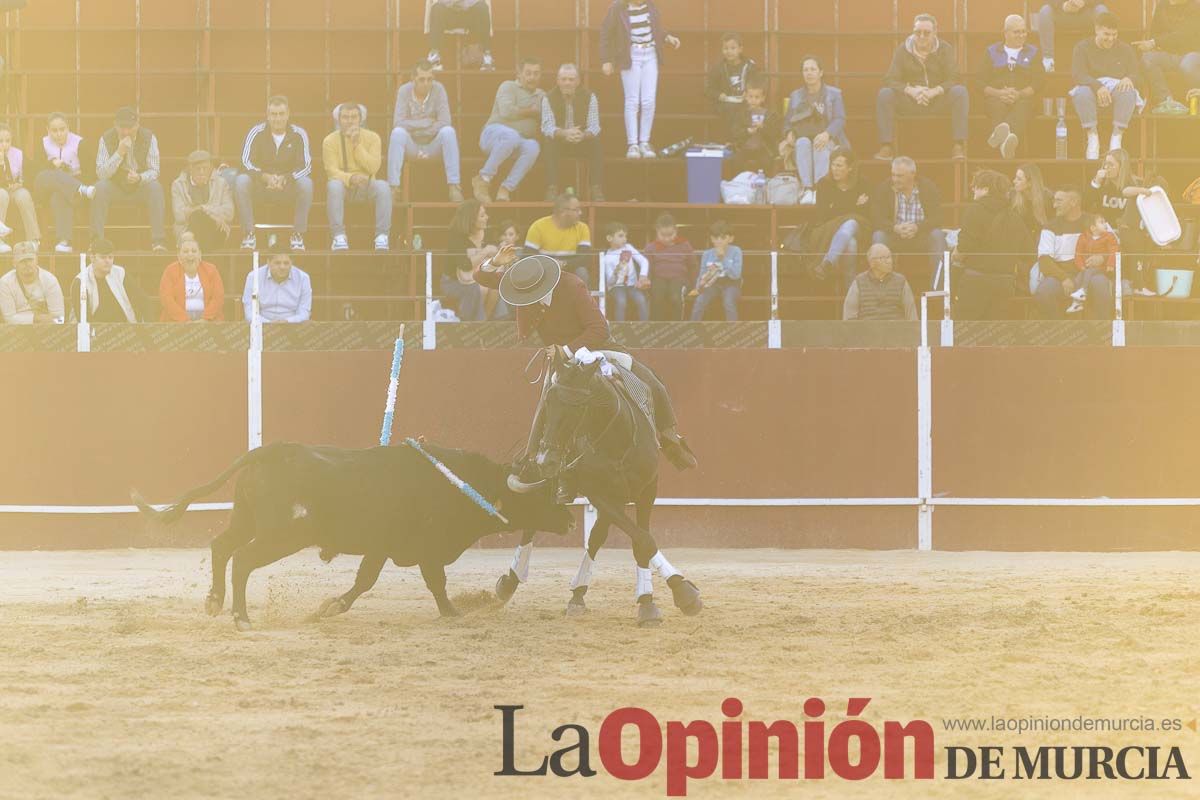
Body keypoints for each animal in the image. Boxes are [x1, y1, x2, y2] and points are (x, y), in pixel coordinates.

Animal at [133, 441, 573, 628]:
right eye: (543, 494)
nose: (570, 519)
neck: (461, 484)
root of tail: (273, 450)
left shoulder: (380, 547)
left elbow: (365, 580)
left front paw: (328, 608)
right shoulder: (425, 549)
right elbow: (435, 581)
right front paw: (453, 613)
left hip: (246, 521)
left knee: (221, 547)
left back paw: (214, 602)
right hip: (280, 536)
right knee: (241, 559)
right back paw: (241, 618)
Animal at [496, 347, 700, 628]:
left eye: (581, 406)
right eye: (548, 402)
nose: (546, 460)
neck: (617, 439)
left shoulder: (647, 489)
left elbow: (639, 539)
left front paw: (657, 598)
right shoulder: (598, 492)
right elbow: (641, 538)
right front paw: (668, 596)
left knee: (595, 537)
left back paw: (578, 594)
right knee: (535, 522)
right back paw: (511, 581)